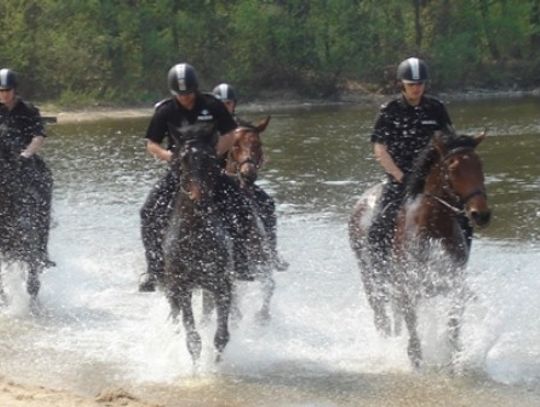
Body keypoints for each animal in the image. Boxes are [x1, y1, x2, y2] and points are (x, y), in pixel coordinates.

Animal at [348, 133, 492, 370]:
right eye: (452, 168)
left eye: (480, 164)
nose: (481, 214)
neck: (433, 226)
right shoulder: (408, 287)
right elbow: (414, 333)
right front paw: (416, 361)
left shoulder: (453, 283)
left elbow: (453, 324)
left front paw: (454, 357)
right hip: (370, 276)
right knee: (381, 316)